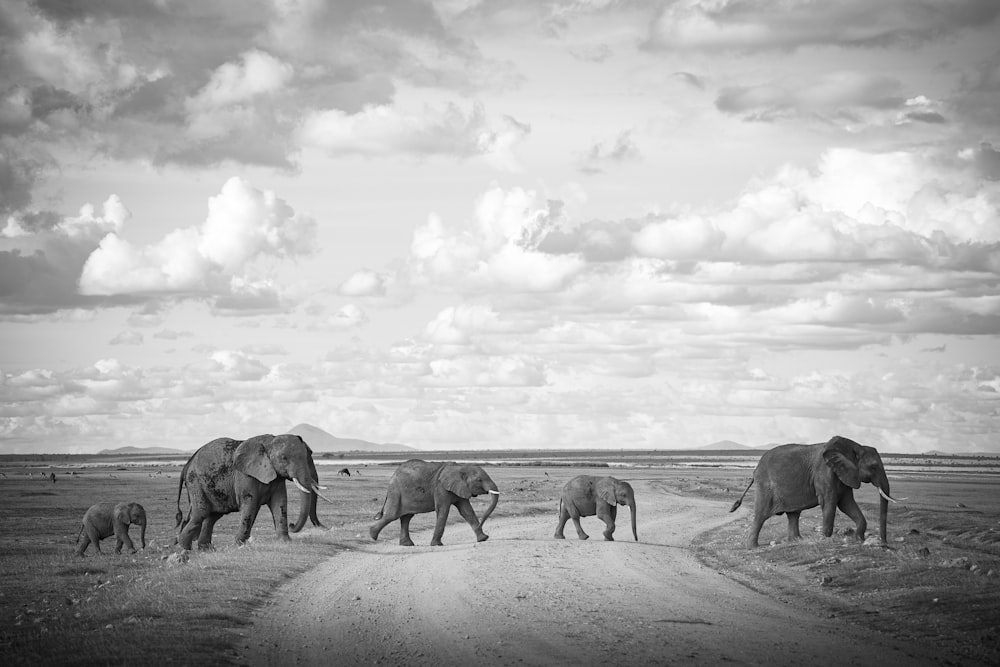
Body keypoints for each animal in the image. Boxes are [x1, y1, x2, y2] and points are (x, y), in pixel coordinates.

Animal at [172, 436, 328, 552]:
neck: (270, 441)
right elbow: (250, 505)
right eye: (284, 458)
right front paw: (239, 544)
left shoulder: (276, 477)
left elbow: (279, 503)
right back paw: (184, 548)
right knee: (201, 513)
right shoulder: (245, 475)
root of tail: (187, 464)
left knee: (212, 517)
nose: (292, 525)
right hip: (196, 482)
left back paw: (206, 550)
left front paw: (285, 541)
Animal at [370, 460, 500, 548]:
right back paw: (372, 535)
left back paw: (407, 544)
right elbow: (443, 510)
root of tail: (393, 475)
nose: (481, 525)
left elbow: (467, 511)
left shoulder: (460, 488)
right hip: (396, 492)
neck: (460, 467)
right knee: (392, 515)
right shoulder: (441, 488)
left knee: (406, 517)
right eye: (479, 480)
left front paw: (483, 539)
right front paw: (437, 545)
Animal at [728, 436, 900, 552]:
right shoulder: (824, 473)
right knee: (761, 515)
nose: (885, 545)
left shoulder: (844, 473)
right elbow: (830, 502)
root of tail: (755, 469)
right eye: (873, 467)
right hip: (765, 487)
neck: (854, 446)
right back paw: (754, 548)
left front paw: (859, 539)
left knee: (793, 514)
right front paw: (825, 540)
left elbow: (846, 504)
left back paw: (796, 541)